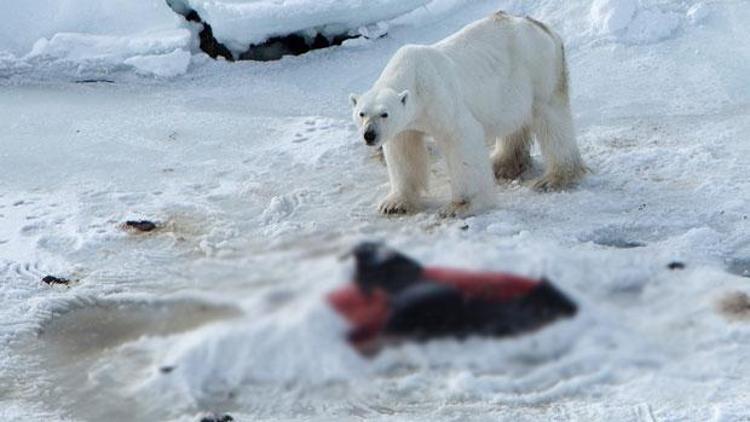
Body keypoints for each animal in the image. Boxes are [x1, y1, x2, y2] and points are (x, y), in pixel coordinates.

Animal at [350, 11, 592, 216]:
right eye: (362, 114)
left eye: (384, 114)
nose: (369, 135)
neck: (413, 74)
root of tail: (541, 25)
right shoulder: (406, 124)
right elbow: (403, 150)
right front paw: (394, 203)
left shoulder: (440, 98)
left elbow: (461, 138)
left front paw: (459, 206)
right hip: (510, 89)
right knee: (513, 122)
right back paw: (502, 163)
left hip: (539, 71)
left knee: (552, 119)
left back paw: (554, 178)